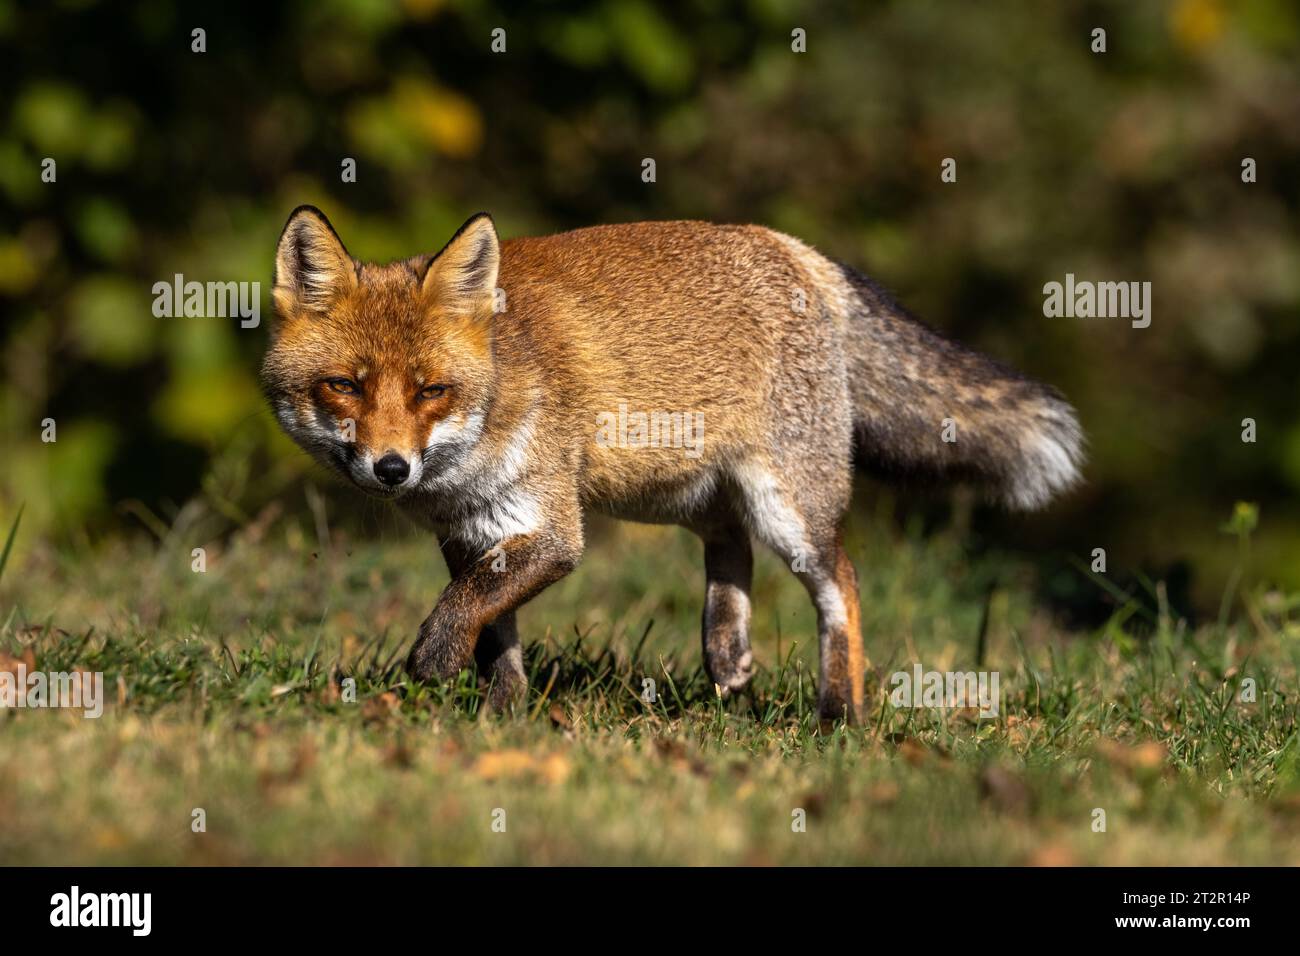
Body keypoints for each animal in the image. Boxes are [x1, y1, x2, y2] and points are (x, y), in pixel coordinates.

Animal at [261, 206, 1083, 724]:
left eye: (431, 391)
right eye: (343, 387)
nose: (391, 469)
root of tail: (793, 248)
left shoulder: (550, 529)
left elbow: (470, 607)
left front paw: (434, 667)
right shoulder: (469, 533)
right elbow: (494, 629)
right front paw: (502, 716)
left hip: (790, 509)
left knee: (841, 584)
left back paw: (839, 717)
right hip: (678, 491)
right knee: (729, 546)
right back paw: (727, 654)